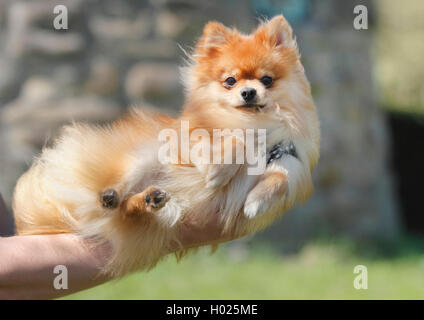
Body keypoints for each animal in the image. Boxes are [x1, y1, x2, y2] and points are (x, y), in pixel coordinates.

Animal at [12, 14, 318, 276]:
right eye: (230, 81)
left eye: (267, 79)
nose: (248, 92)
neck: (255, 122)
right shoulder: (188, 134)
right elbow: (230, 142)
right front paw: (219, 170)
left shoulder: (288, 158)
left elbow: (280, 179)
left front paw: (255, 202)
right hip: (146, 159)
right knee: (116, 199)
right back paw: (112, 195)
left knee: (128, 209)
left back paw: (149, 200)